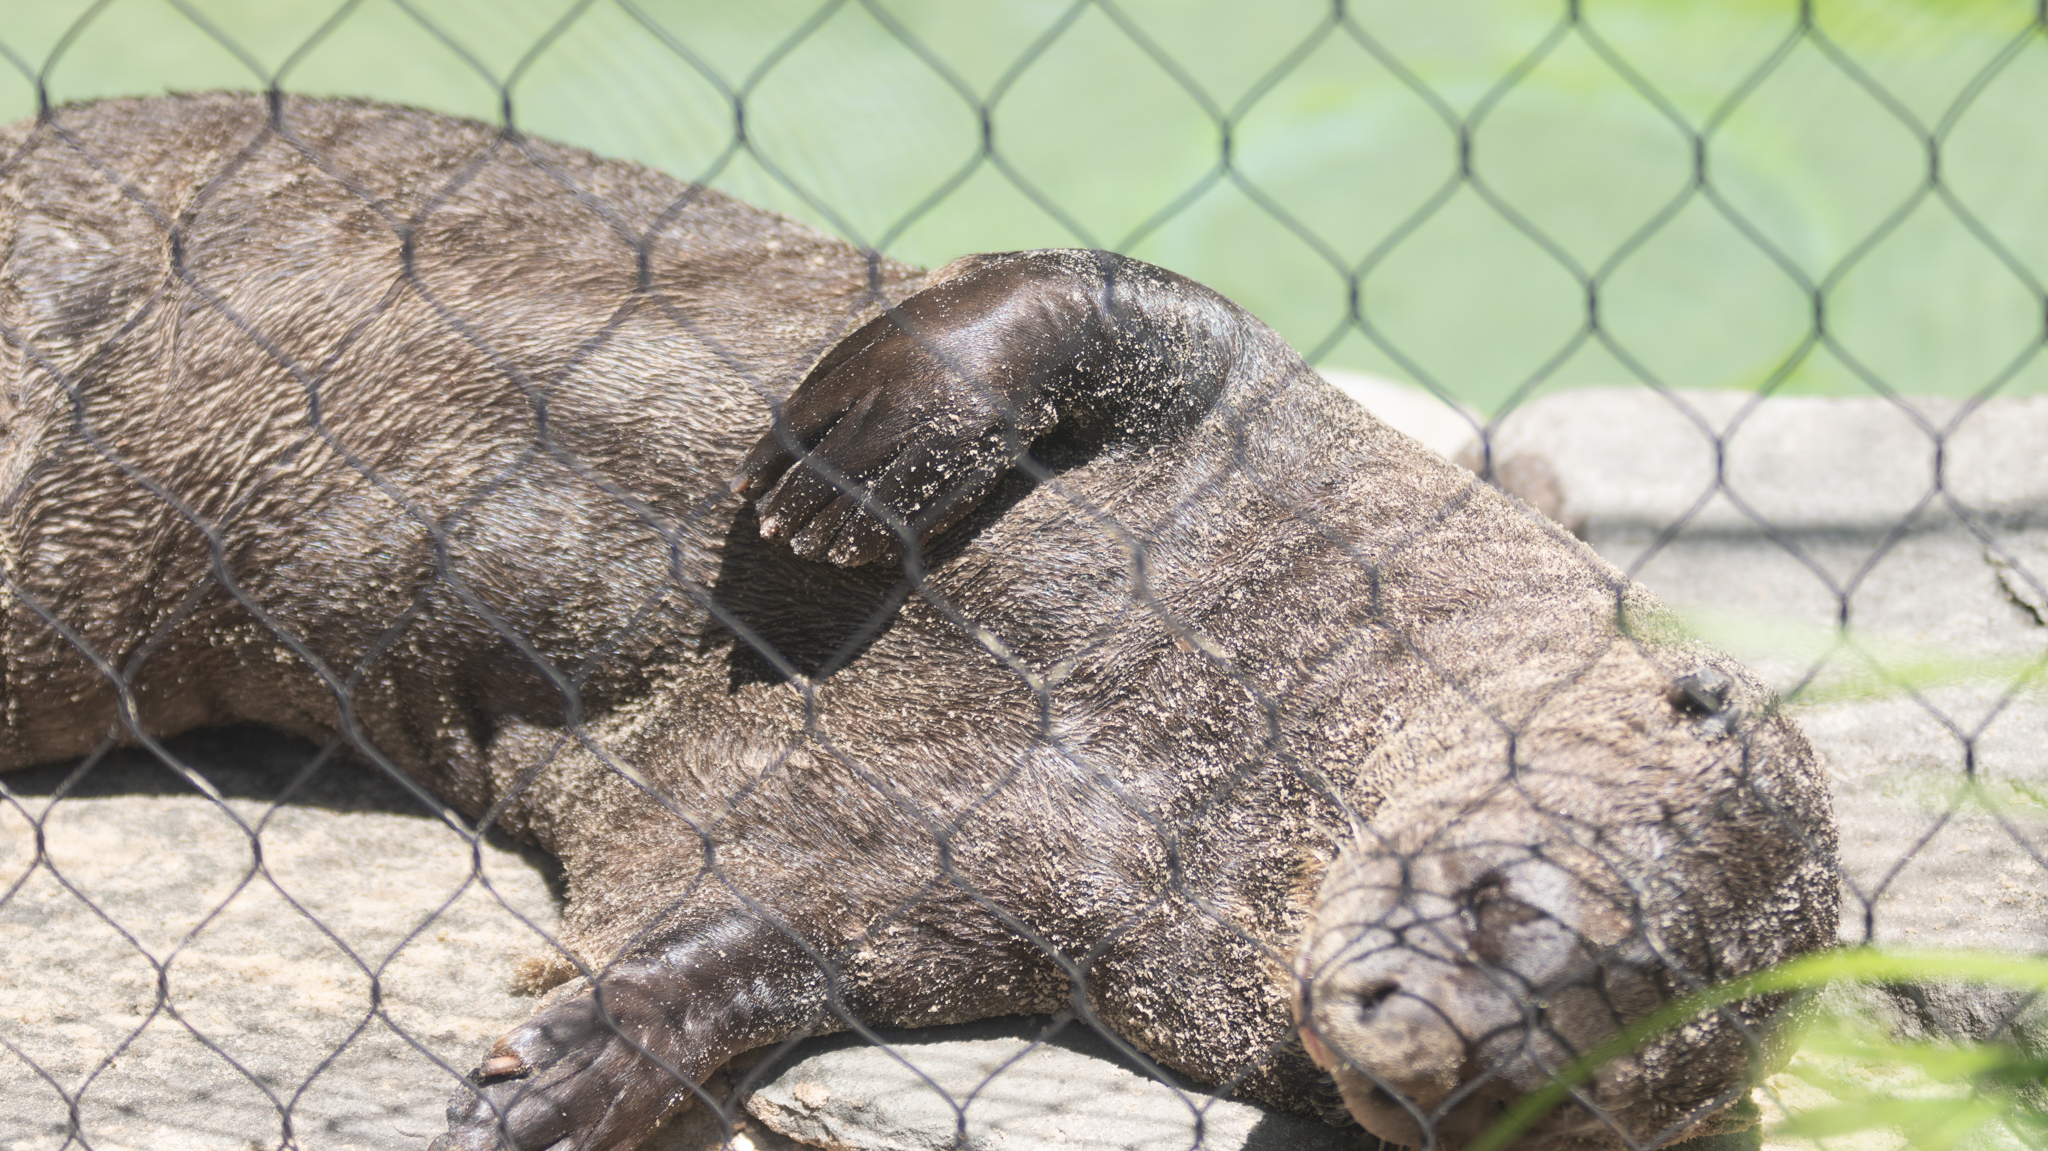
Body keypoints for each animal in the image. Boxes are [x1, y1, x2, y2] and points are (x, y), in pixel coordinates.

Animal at [0, 94, 1838, 1151]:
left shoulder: (970, 896)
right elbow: (1092, 301)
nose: (1445, 1052)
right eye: (1517, 904)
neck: (1200, 736)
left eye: (1574, 1085)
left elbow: (756, 945)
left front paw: (571, 1068)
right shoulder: (1260, 412)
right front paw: (841, 469)